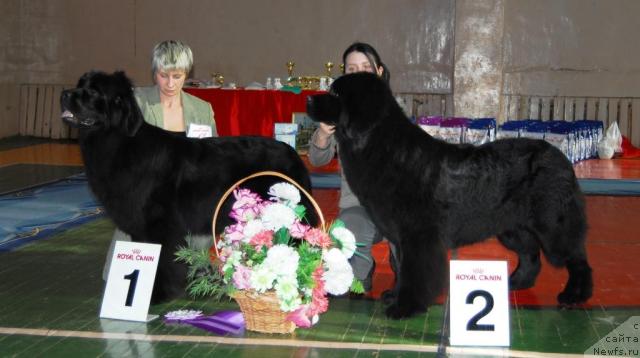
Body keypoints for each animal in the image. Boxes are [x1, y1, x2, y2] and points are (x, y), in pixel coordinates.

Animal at [61, 71, 316, 304]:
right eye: (80, 84)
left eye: (94, 91)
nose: (64, 94)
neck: (120, 141)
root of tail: (293, 153)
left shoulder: (158, 224)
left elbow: (160, 257)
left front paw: (155, 294)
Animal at [308, 71, 592, 318]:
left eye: (335, 92)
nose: (309, 100)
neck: (379, 144)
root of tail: (560, 156)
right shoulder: (398, 237)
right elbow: (400, 266)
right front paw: (393, 296)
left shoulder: (418, 235)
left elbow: (414, 272)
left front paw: (405, 307)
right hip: (512, 227)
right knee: (530, 254)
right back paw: (517, 282)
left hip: (553, 225)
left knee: (575, 258)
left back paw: (574, 295)